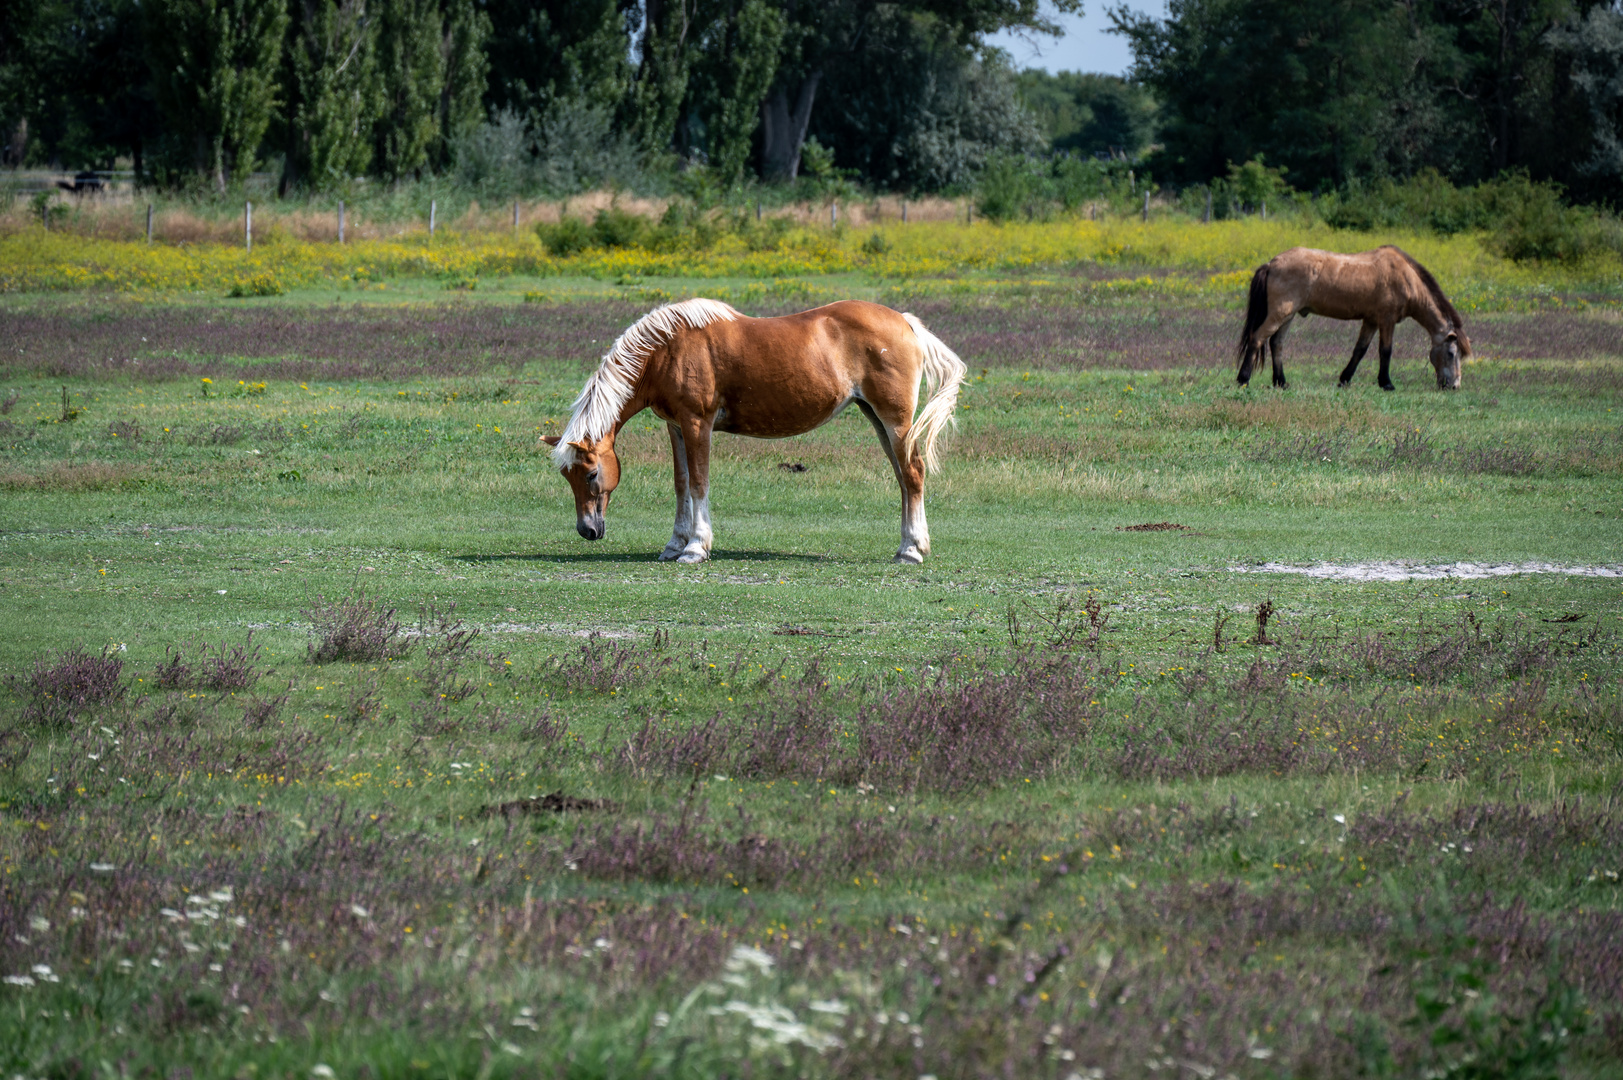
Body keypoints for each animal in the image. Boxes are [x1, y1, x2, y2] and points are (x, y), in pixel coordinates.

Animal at [538, 297, 960, 565]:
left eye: (592, 474)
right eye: (566, 476)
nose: (586, 530)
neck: (667, 349)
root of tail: (905, 322)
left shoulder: (697, 423)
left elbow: (699, 482)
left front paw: (695, 547)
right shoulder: (676, 427)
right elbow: (681, 483)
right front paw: (674, 544)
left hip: (895, 420)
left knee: (913, 474)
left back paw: (911, 551)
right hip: (877, 418)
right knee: (903, 479)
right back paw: (909, 545)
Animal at [1233, 246, 1480, 389]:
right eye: (1451, 353)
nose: (1454, 386)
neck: (1405, 278)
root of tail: (1272, 263)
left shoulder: (1370, 320)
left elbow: (1359, 350)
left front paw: (1345, 379)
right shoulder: (1386, 320)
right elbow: (1385, 351)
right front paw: (1386, 383)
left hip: (1289, 315)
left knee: (1277, 343)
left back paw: (1281, 382)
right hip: (1280, 313)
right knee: (1257, 338)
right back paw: (1243, 379)